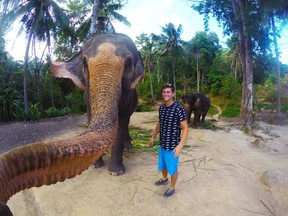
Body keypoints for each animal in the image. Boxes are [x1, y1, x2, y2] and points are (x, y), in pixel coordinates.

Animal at [0, 33, 144, 215]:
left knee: (127, 122)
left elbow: (122, 119)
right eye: (85, 63)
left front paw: (116, 172)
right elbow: (89, 116)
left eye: (128, 63)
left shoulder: (128, 95)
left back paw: (129, 146)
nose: (4, 205)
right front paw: (96, 166)